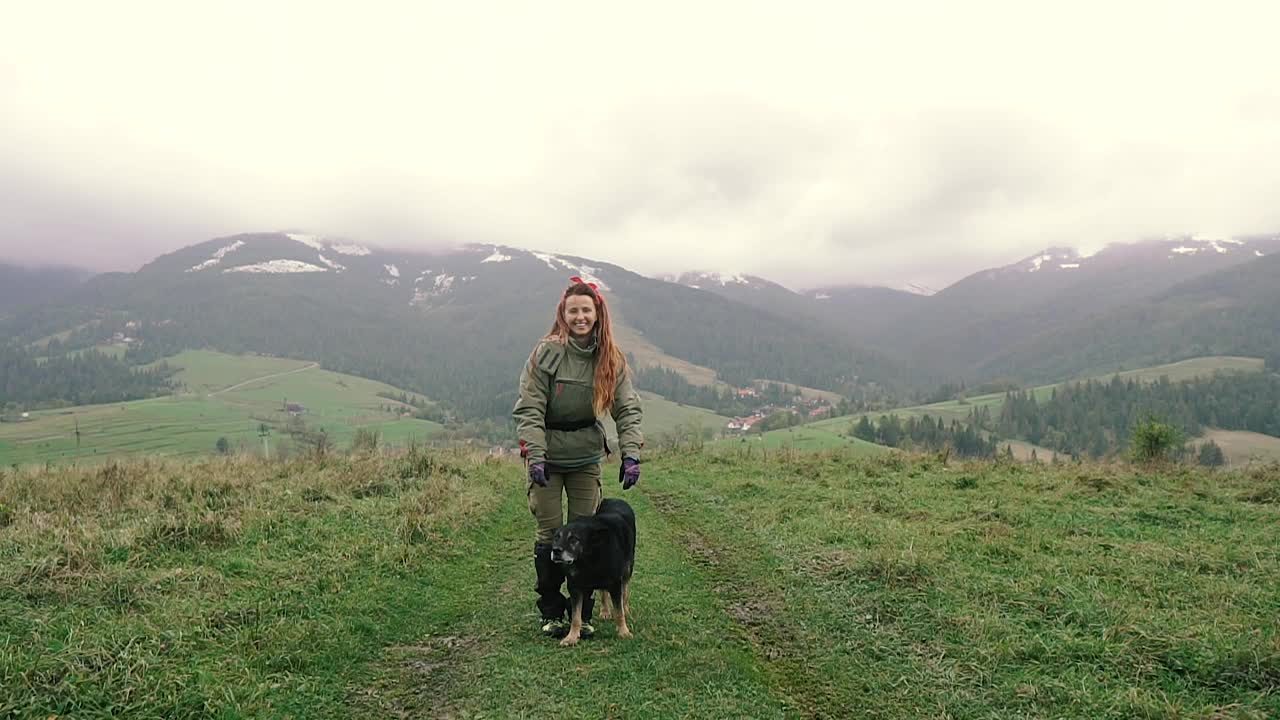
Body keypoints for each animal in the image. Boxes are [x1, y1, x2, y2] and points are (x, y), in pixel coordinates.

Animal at [550, 499, 634, 645]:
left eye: (574, 539)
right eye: (556, 537)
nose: (556, 551)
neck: (589, 557)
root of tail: (615, 499)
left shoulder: (615, 583)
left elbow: (619, 612)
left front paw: (624, 632)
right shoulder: (575, 587)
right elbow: (576, 617)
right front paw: (571, 637)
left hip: (627, 569)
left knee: (625, 590)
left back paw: (626, 609)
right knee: (603, 592)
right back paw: (605, 611)